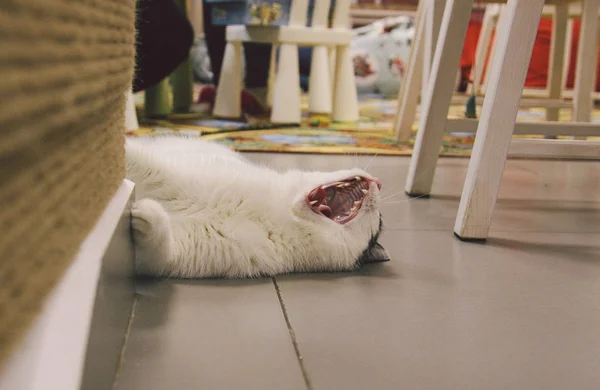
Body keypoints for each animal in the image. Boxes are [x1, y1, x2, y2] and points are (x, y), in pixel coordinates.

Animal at [125, 136, 390, 278]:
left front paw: (145, 212)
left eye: (378, 223)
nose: (379, 182)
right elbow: (135, 156)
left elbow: (158, 247)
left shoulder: (171, 257)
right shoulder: (164, 170)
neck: (273, 214)